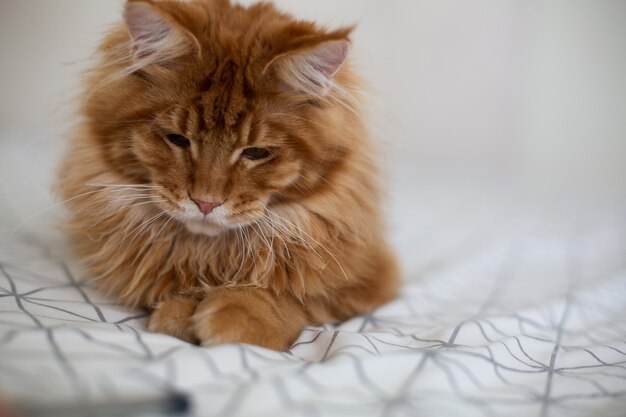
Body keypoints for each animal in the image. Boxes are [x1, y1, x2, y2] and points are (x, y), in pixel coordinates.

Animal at [59, 0, 400, 350]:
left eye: (255, 153)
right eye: (178, 139)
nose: (205, 203)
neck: (212, 253)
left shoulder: (368, 278)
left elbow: (291, 294)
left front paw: (237, 313)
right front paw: (180, 313)